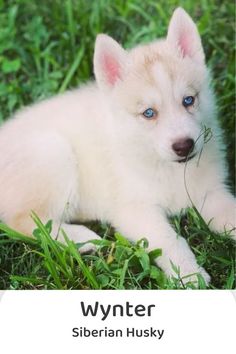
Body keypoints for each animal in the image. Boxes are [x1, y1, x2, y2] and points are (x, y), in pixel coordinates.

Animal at [0, 7, 235, 284]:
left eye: (188, 100)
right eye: (148, 113)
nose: (184, 146)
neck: (166, 167)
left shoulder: (212, 193)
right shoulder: (135, 210)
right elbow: (171, 240)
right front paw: (190, 274)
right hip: (54, 153)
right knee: (25, 222)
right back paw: (82, 238)